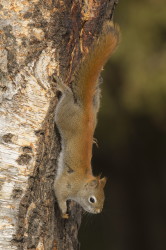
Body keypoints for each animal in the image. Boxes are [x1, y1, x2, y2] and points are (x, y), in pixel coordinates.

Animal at [53, 20, 120, 218]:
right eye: (92, 199)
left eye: (104, 199)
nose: (98, 211)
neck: (82, 183)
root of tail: (86, 112)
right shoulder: (66, 185)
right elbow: (58, 191)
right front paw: (64, 211)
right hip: (63, 115)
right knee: (67, 97)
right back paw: (63, 88)